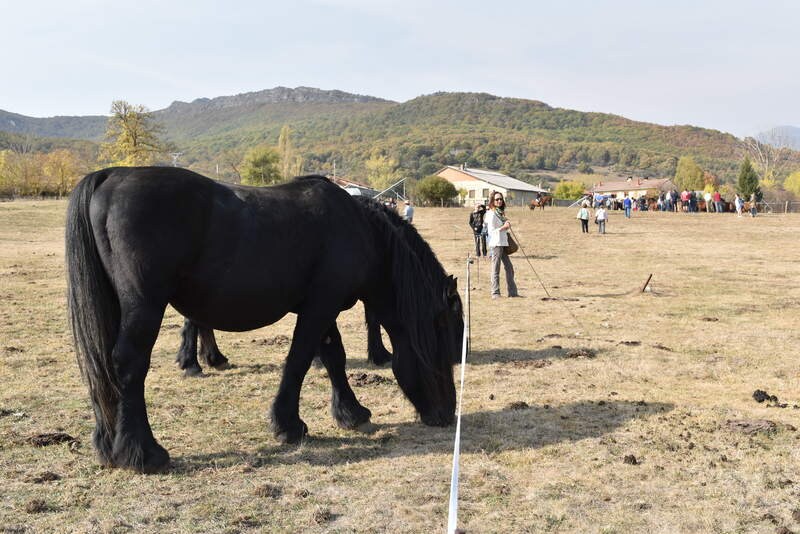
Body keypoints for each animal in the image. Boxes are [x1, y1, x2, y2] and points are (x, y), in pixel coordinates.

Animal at [66, 168, 466, 474]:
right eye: (443, 342)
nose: (448, 414)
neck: (360, 229)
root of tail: (111, 176)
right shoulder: (319, 307)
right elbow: (300, 360)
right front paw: (288, 425)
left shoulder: (324, 305)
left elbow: (333, 359)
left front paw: (351, 413)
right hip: (144, 306)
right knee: (128, 365)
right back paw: (142, 453)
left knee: (104, 368)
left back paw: (109, 445)